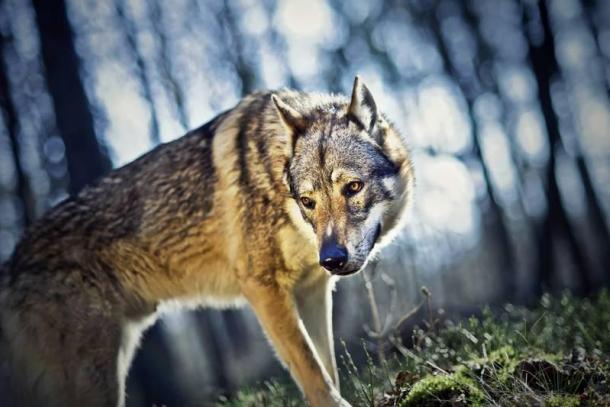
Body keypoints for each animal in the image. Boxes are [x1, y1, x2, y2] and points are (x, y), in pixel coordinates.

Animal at [0, 77, 414, 407]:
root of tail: (14, 259)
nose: (331, 259)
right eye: (308, 201)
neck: (274, 177)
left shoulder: (312, 292)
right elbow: (313, 374)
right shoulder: (263, 289)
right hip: (96, 377)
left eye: (353, 187)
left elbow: (327, 368)